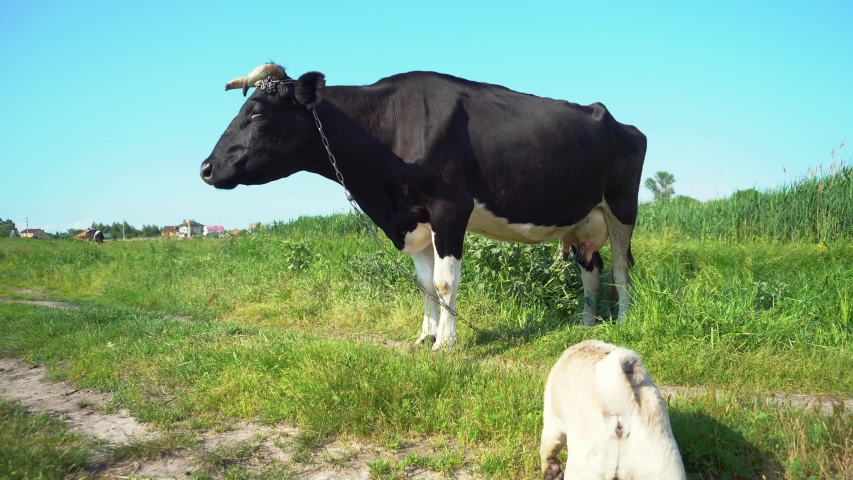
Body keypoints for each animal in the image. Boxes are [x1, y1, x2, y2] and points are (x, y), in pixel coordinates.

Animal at [200, 63, 647, 351]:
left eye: (256, 112)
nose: (206, 168)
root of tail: (620, 123)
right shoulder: (413, 219)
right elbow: (425, 283)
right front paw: (424, 336)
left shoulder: (450, 207)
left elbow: (446, 281)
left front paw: (446, 344)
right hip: (582, 220)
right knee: (592, 269)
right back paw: (584, 325)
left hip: (622, 207)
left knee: (620, 268)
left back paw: (624, 320)